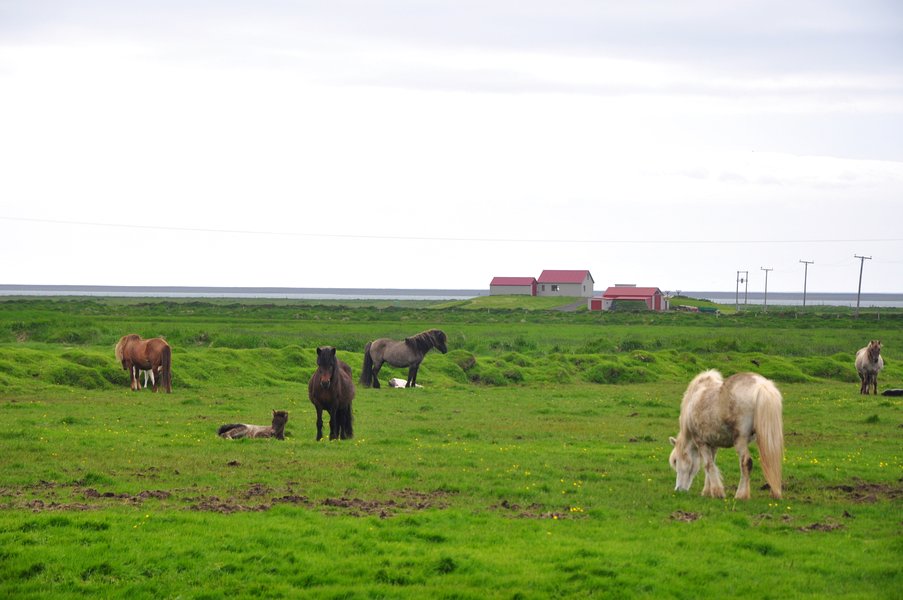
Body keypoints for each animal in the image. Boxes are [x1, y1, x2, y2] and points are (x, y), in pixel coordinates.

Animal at [668, 368, 788, 500]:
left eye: (676, 461)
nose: (678, 490)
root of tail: (761, 385)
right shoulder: (713, 444)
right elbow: (711, 465)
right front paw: (707, 491)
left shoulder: (702, 443)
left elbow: (708, 465)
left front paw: (717, 492)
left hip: (740, 440)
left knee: (746, 462)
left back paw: (741, 495)